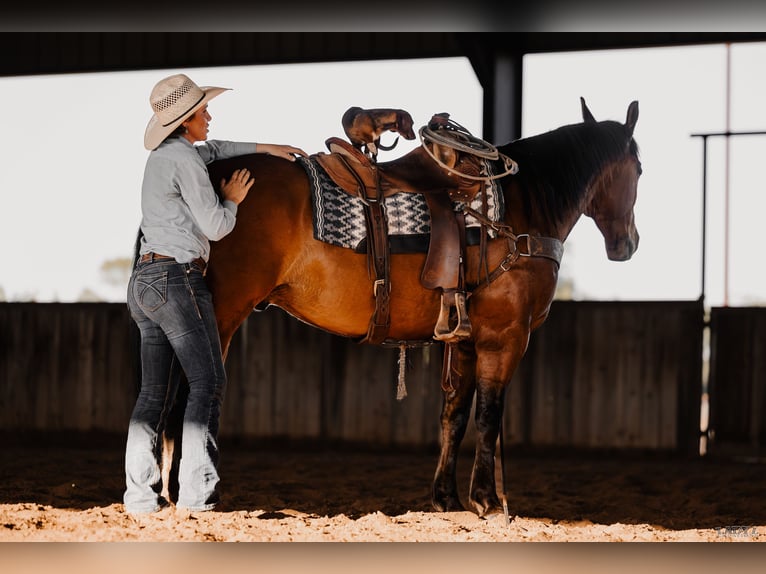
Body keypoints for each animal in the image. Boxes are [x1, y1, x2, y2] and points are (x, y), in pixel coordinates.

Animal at [164, 97, 641, 517]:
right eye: (639, 169)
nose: (629, 243)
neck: (523, 208)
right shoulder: (504, 337)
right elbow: (489, 415)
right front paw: (487, 500)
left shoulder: (465, 340)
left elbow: (455, 415)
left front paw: (446, 499)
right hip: (220, 316)